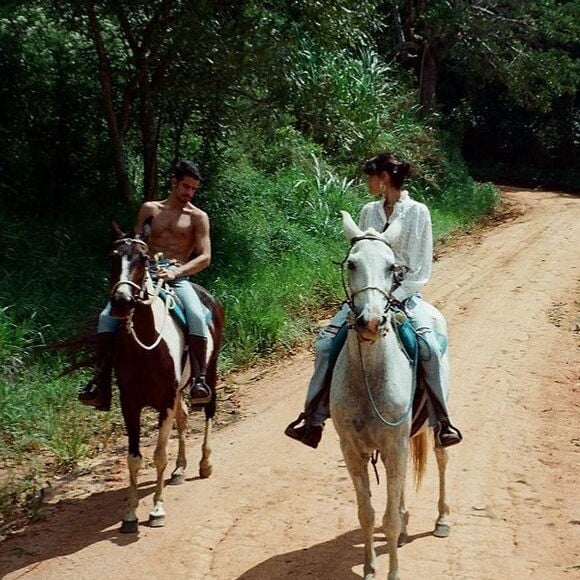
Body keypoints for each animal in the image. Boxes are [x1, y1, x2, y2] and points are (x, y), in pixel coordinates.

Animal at [106, 223, 224, 536]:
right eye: (113, 257)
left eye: (143, 259)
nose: (122, 302)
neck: (146, 344)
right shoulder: (130, 403)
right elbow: (134, 458)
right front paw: (130, 514)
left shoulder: (165, 401)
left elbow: (159, 455)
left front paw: (157, 509)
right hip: (180, 389)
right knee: (183, 418)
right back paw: (180, 469)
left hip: (209, 370)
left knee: (208, 409)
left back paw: (204, 463)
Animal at [330, 212, 448, 580]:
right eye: (352, 264)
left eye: (391, 267)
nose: (369, 321)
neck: (370, 377)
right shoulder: (352, 449)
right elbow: (368, 514)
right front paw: (370, 568)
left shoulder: (395, 444)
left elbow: (389, 520)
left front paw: (393, 573)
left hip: (434, 426)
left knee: (441, 458)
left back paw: (442, 519)